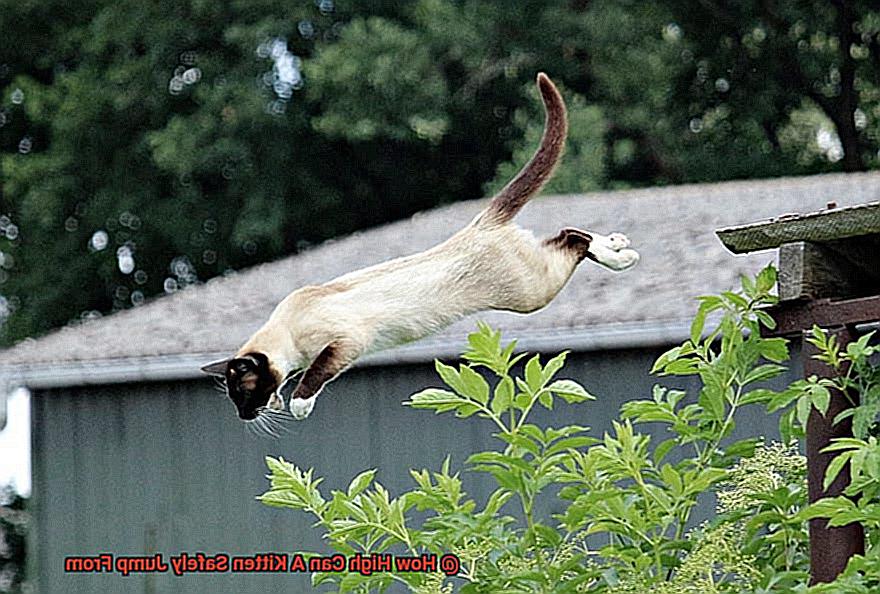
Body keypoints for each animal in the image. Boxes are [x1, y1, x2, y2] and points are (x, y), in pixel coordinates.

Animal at [201, 73, 640, 426]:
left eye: (243, 393)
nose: (244, 417)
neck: (288, 331)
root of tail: (481, 222)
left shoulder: (346, 343)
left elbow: (315, 375)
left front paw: (298, 405)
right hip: (534, 280)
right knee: (567, 234)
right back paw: (618, 244)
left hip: (530, 295)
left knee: (574, 242)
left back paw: (622, 257)